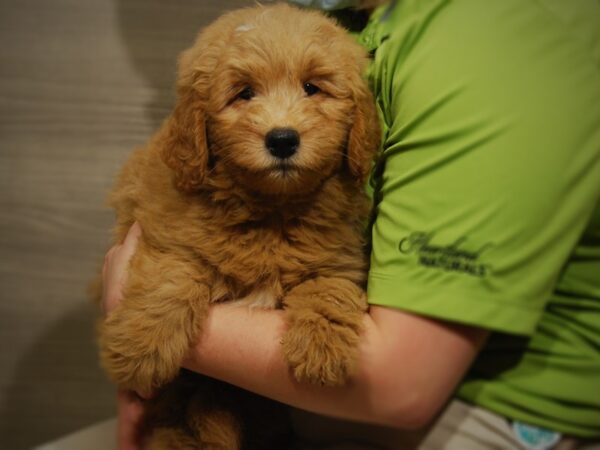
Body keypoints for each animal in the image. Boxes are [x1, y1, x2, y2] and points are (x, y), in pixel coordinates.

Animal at [98, 2, 380, 446]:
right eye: (244, 93)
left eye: (312, 87)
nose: (282, 140)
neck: (271, 211)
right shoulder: (165, 229)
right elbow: (172, 277)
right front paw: (140, 348)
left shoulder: (341, 256)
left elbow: (328, 289)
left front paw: (322, 348)